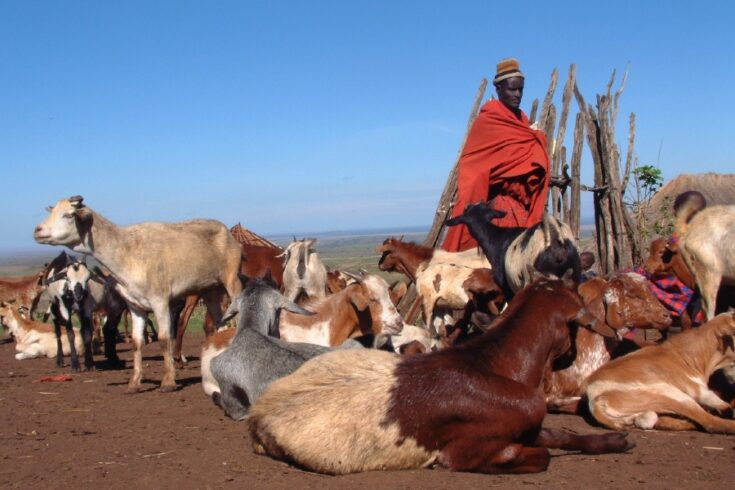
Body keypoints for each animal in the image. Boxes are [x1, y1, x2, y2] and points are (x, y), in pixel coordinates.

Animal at [247, 278, 632, 476]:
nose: (570, 355)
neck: (497, 364)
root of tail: (259, 412)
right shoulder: (467, 453)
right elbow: (542, 456)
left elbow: (562, 435)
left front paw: (617, 441)